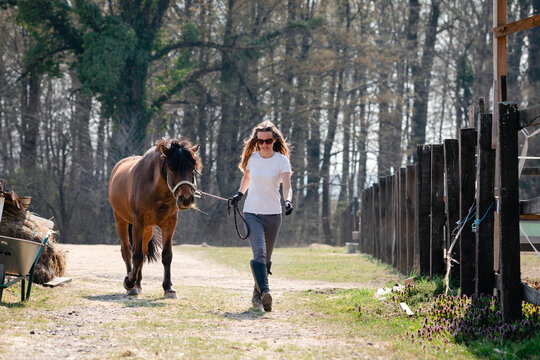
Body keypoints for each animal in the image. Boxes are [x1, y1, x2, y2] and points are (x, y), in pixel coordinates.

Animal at [108, 139, 201, 296]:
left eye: (192, 168)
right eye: (171, 169)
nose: (186, 199)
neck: (155, 190)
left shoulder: (170, 224)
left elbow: (166, 255)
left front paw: (168, 288)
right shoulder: (138, 223)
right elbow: (136, 255)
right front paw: (129, 282)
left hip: (147, 229)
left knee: (144, 251)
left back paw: (138, 284)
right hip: (121, 220)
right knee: (127, 250)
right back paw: (132, 285)